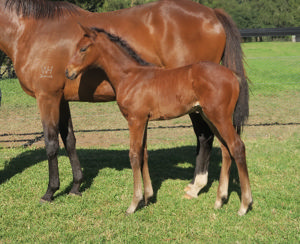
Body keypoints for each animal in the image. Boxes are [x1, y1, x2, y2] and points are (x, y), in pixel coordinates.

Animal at [66, 25, 253, 215]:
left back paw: (244, 205)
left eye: (83, 48)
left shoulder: (135, 120)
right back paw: (220, 200)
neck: (130, 76)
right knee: (226, 149)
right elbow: (144, 153)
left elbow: (134, 155)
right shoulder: (144, 121)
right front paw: (148, 198)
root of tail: (232, 75)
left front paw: (134, 203)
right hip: (209, 117)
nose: (68, 72)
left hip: (219, 117)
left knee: (237, 147)